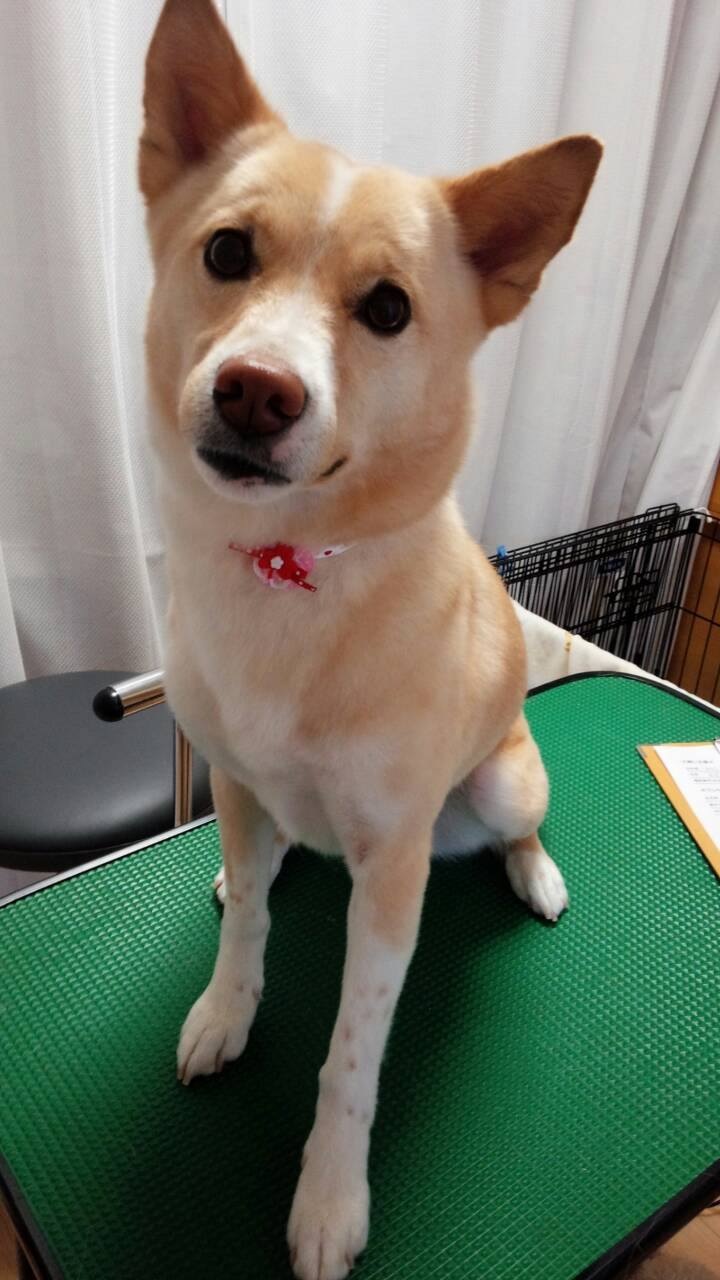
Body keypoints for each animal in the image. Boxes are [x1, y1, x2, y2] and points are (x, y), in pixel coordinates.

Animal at [139, 3, 601, 1275]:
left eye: (388, 309)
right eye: (228, 252)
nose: (256, 391)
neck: (286, 578)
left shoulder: (392, 877)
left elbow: (352, 1053)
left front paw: (330, 1196)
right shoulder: (235, 778)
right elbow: (250, 929)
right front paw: (225, 1007)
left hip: (501, 782)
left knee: (517, 829)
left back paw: (536, 872)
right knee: (273, 853)